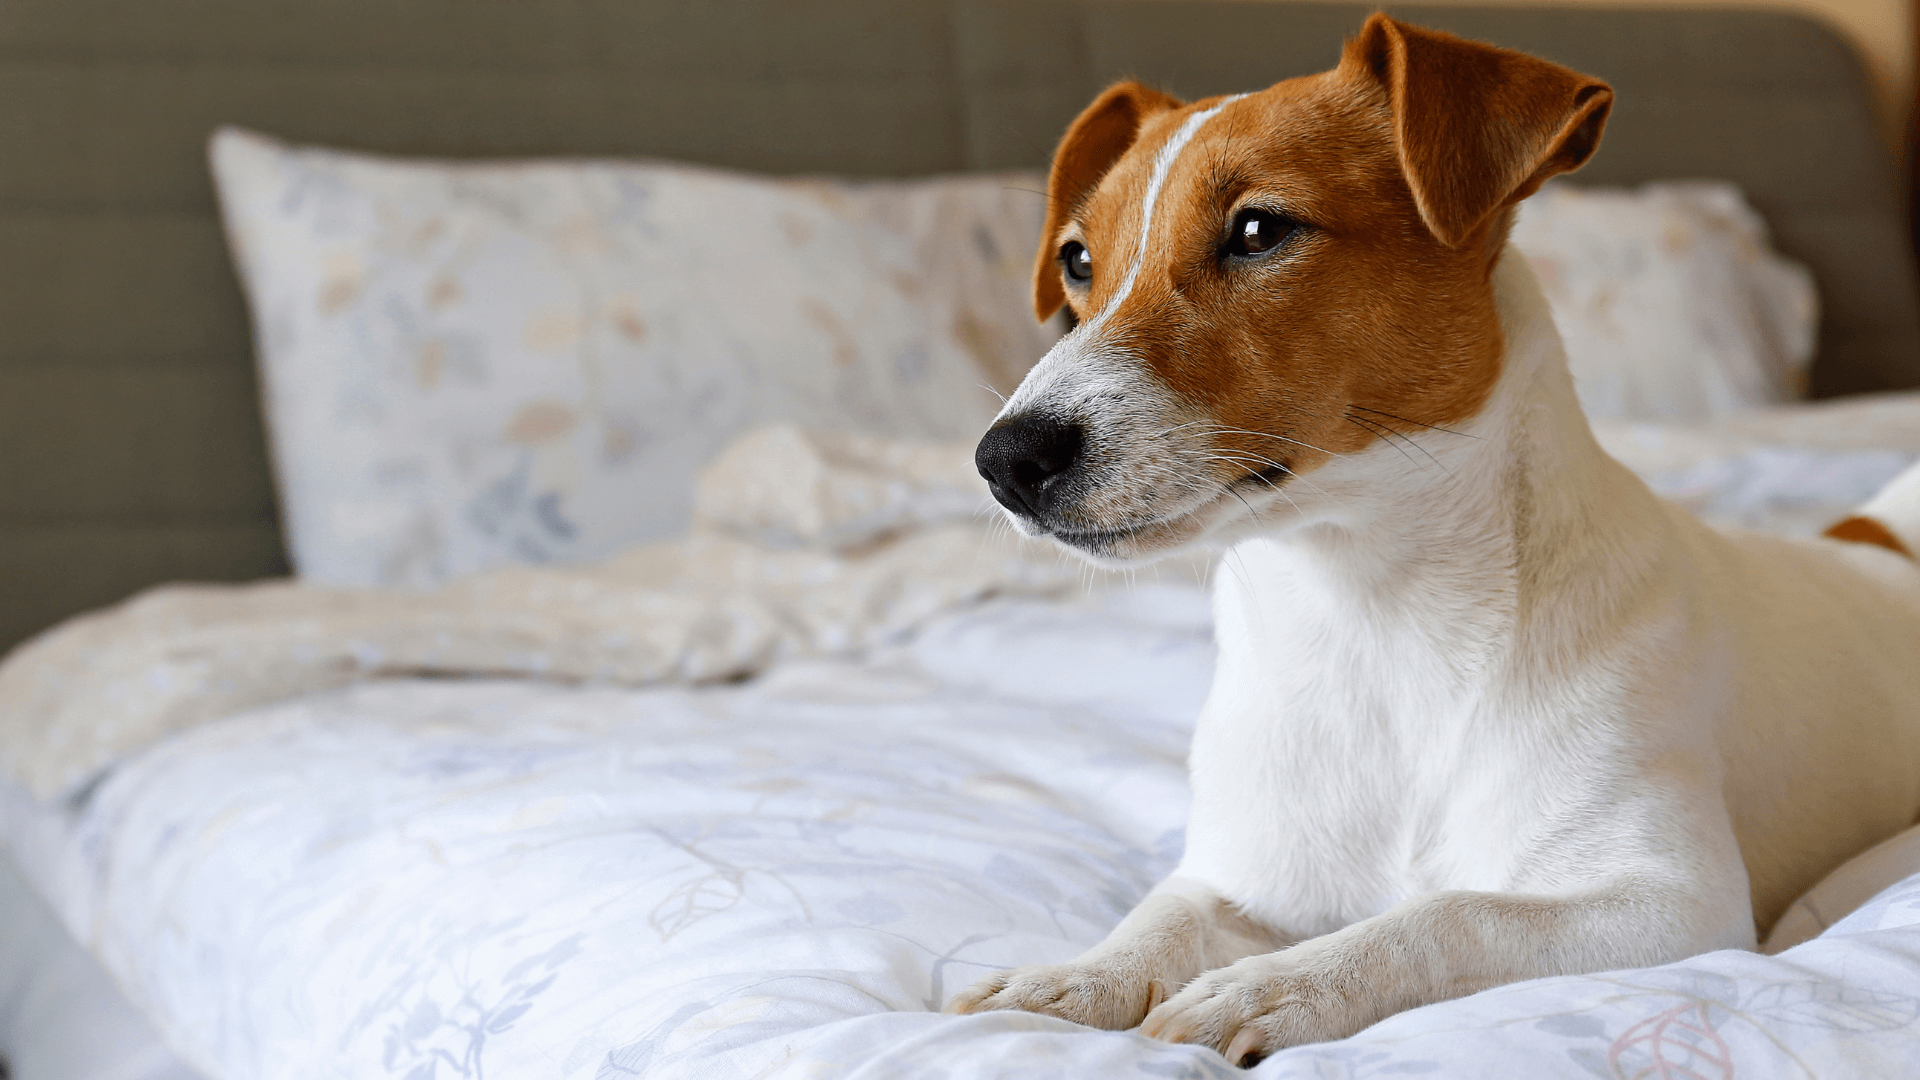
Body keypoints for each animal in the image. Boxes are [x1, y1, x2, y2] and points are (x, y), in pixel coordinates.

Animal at [940, 12, 1920, 1060]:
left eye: (1259, 230)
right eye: (1078, 260)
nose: (1004, 458)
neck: (1374, 618)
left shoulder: (1670, 903)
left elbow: (1446, 913)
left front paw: (1277, 986)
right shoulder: (1244, 876)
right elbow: (1161, 914)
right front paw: (1071, 978)